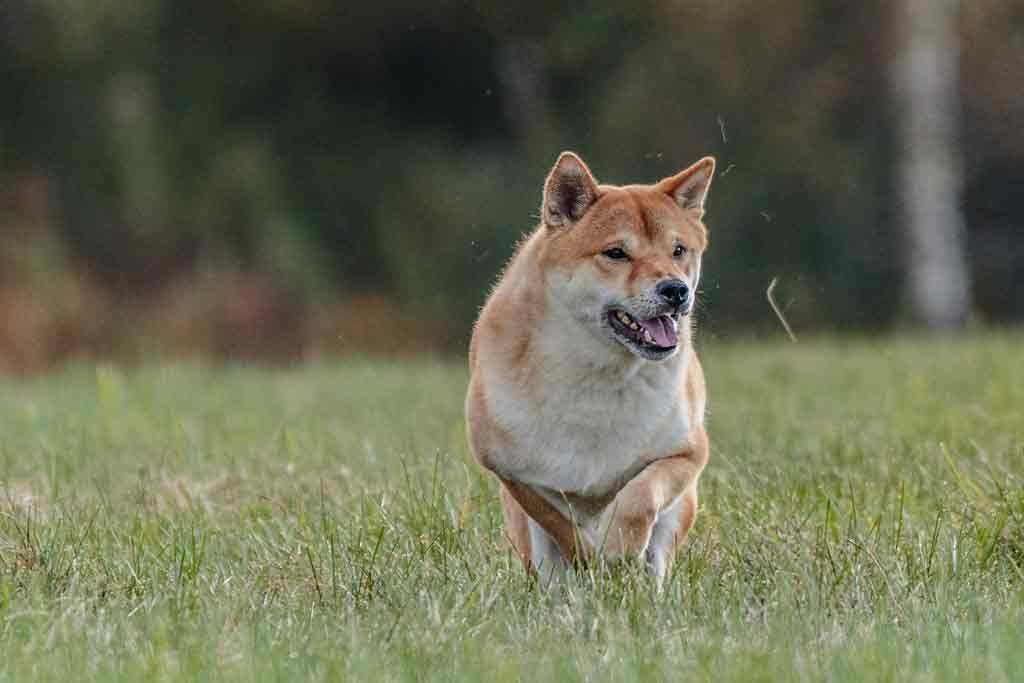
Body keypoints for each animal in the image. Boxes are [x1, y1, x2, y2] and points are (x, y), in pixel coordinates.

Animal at [468, 150, 716, 589]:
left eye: (678, 250)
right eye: (616, 253)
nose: (676, 290)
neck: (597, 374)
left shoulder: (686, 452)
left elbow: (640, 497)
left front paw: (618, 548)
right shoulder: (513, 472)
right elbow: (558, 522)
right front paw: (589, 561)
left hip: (682, 509)